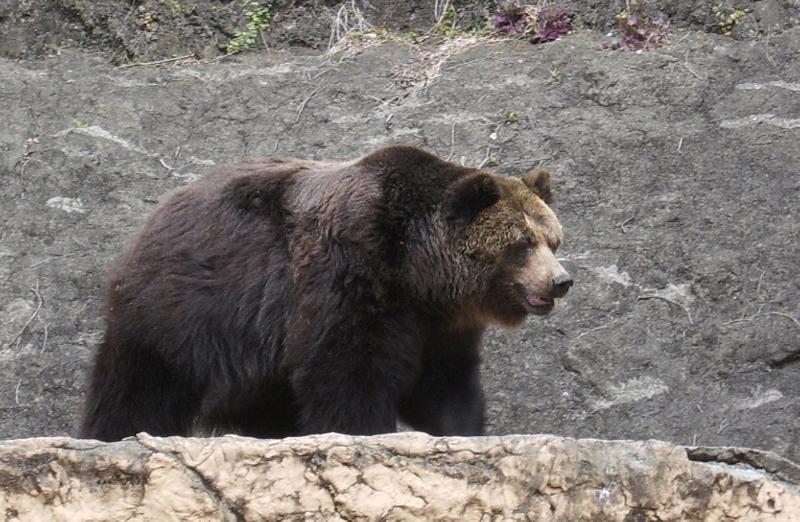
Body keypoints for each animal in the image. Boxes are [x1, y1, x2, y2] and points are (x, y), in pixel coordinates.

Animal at [79, 145, 572, 441]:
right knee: (141, 385)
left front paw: (463, 429)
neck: (417, 272)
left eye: (553, 240)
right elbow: (347, 372)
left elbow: (445, 386)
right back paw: (114, 432)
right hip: (186, 311)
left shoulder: (439, 326)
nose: (560, 281)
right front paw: (363, 431)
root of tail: (155, 216)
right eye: (522, 244)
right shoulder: (349, 276)